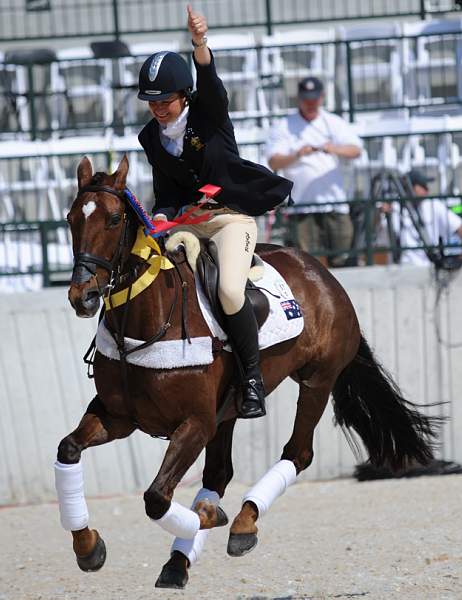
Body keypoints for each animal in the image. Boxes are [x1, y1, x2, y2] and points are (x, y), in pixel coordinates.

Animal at [59, 156, 438, 592]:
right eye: (71, 218)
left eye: (114, 219)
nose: (83, 296)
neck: (144, 321)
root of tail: (322, 271)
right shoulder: (119, 417)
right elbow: (69, 450)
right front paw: (87, 546)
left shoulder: (195, 423)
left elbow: (156, 497)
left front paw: (208, 517)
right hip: (228, 413)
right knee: (220, 473)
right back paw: (179, 561)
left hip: (316, 382)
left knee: (297, 453)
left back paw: (240, 523)